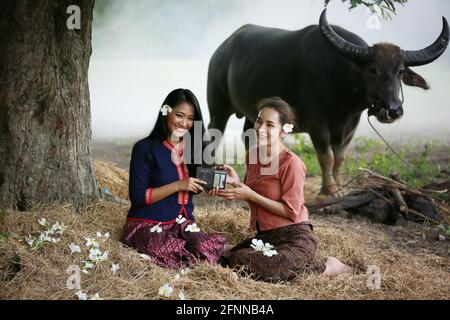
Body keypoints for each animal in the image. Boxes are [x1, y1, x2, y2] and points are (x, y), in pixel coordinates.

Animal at [206, 8, 448, 195]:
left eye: (400, 71)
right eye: (372, 69)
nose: (393, 109)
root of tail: (221, 50)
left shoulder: (352, 124)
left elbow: (340, 157)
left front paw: (339, 186)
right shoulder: (317, 123)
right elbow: (327, 157)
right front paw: (328, 190)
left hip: (253, 113)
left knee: (250, 138)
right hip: (218, 106)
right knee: (213, 135)